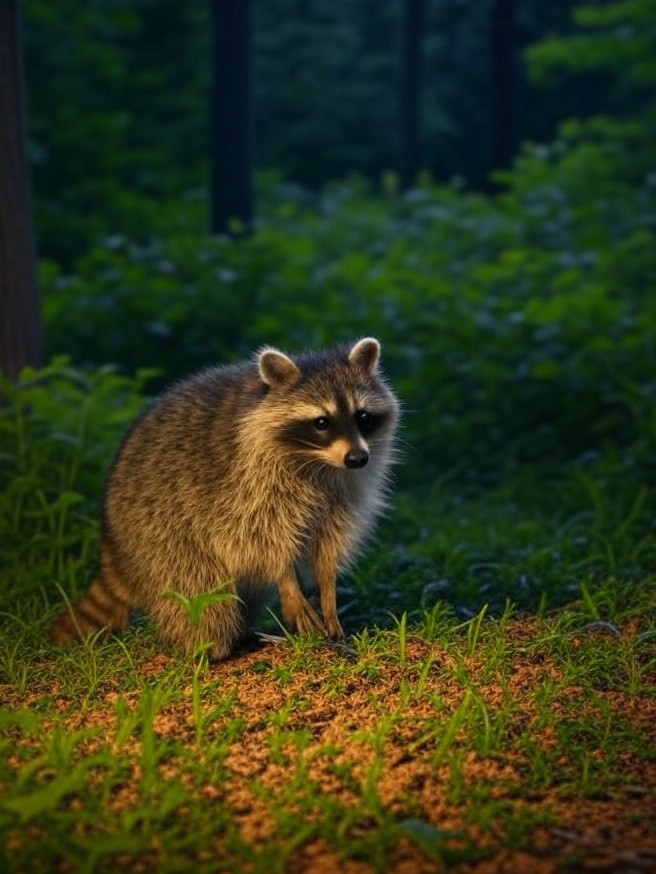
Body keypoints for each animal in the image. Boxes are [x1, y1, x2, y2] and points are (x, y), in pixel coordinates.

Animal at [51, 338, 399, 659]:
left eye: (363, 416)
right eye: (322, 422)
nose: (357, 458)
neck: (319, 462)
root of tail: (114, 550)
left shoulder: (345, 491)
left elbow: (330, 542)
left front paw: (328, 591)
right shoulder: (247, 485)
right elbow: (264, 539)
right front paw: (288, 582)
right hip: (161, 539)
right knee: (203, 601)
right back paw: (212, 650)